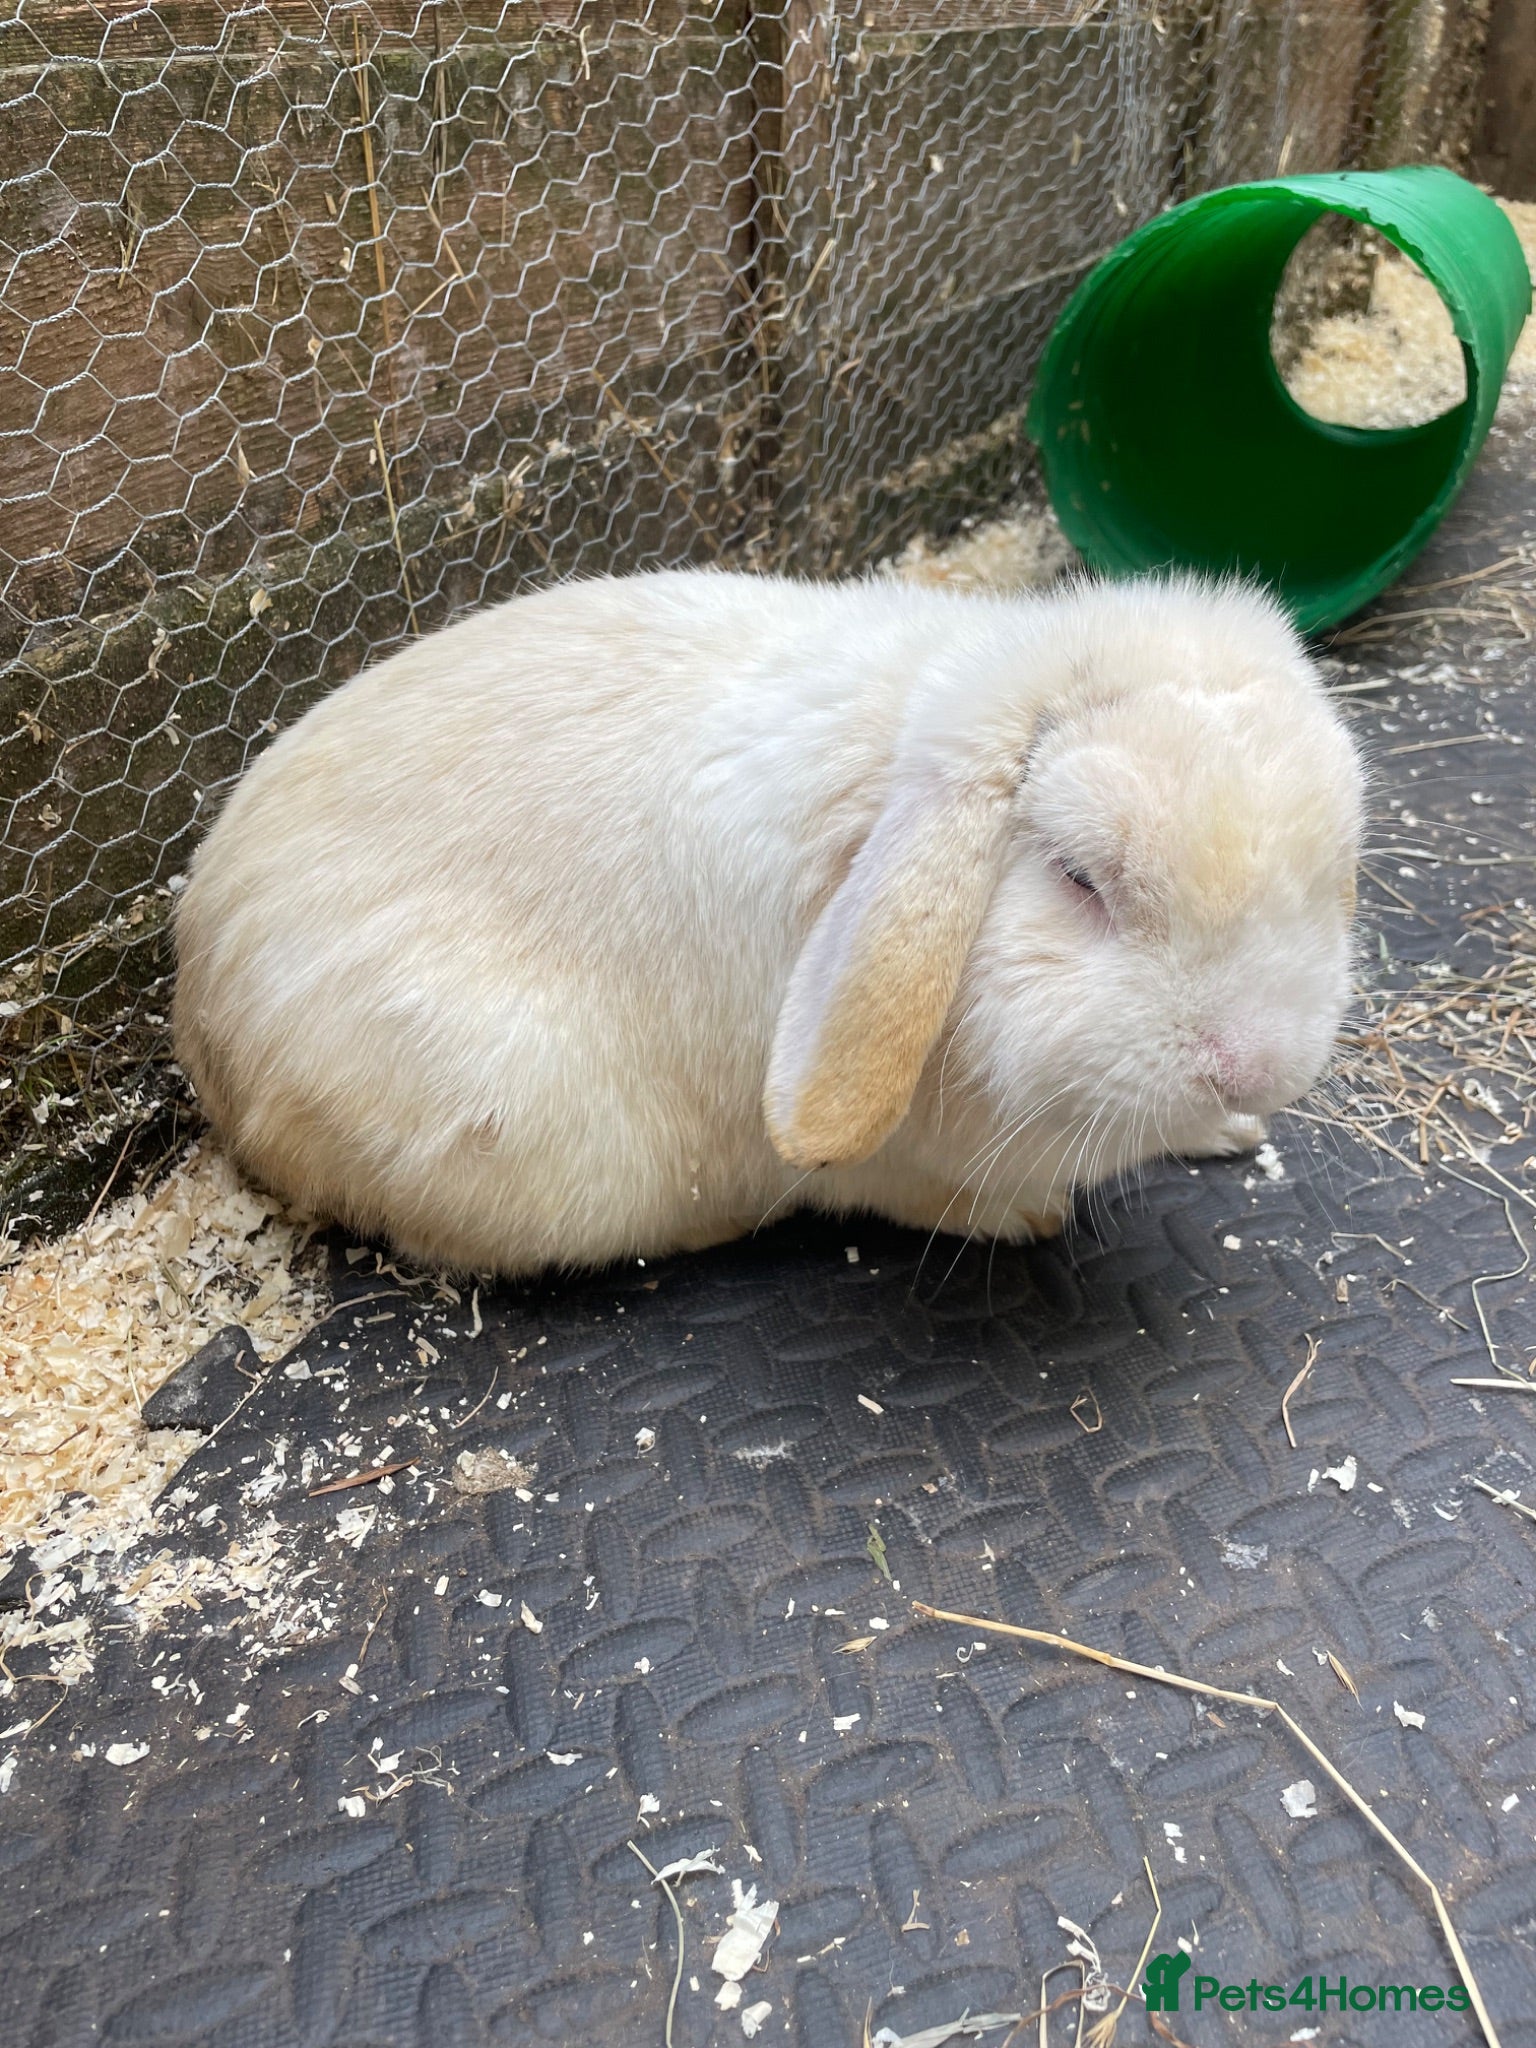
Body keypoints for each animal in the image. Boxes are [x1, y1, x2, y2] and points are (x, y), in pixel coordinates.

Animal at [172, 567, 1363, 1277]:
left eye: (1330, 871)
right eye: (1079, 877)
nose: (1254, 1064)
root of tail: (202, 1019)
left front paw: (1233, 1133)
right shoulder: (884, 1163)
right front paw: (1030, 1218)